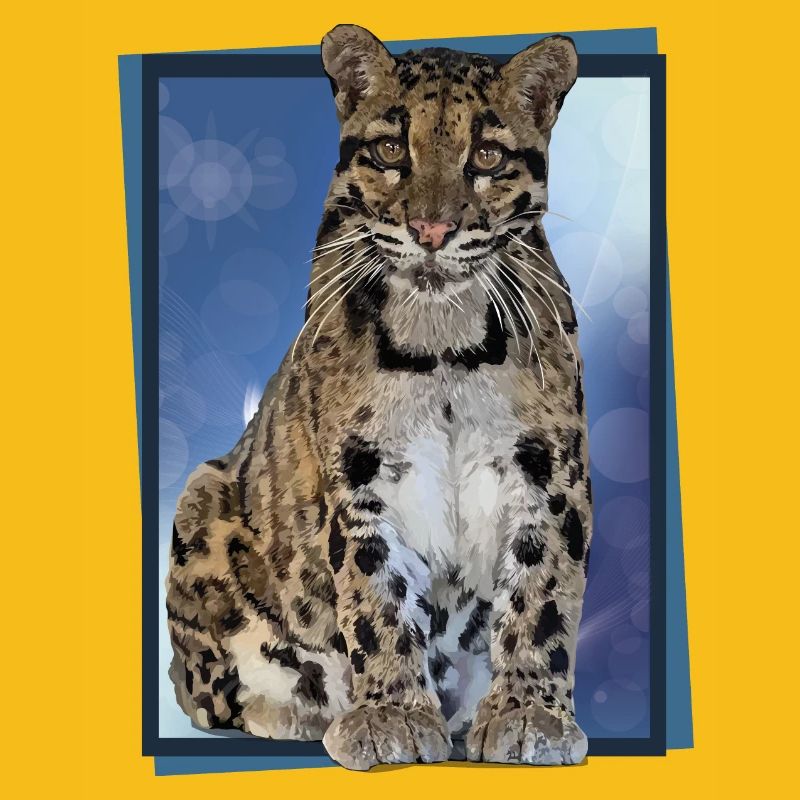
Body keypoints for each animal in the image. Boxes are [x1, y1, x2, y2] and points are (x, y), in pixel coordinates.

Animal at [166, 23, 591, 769]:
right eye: (393, 149)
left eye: (486, 155)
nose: (431, 231)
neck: (444, 343)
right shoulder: (359, 476)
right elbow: (375, 596)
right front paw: (391, 714)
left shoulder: (549, 472)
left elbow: (542, 594)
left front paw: (528, 714)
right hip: (200, 497)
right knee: (207, 692)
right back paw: (300, 710)